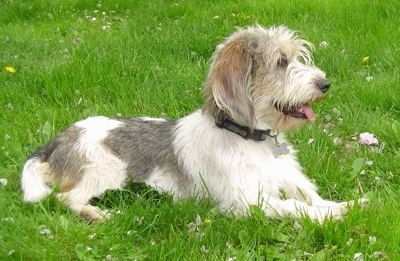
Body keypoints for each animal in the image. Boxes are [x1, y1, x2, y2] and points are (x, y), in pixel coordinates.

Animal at [21, 25, 366, 222]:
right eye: (281, 62)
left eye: (293, 58)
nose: (325, 84)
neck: (249, 138)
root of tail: (54, 141)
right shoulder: (243, 202)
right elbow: (296, 207)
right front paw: (337, 213)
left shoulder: (286, 177)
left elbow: (310, 196)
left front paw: (350, 203)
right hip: (105, 170)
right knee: (64, 198)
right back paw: (96, 213)